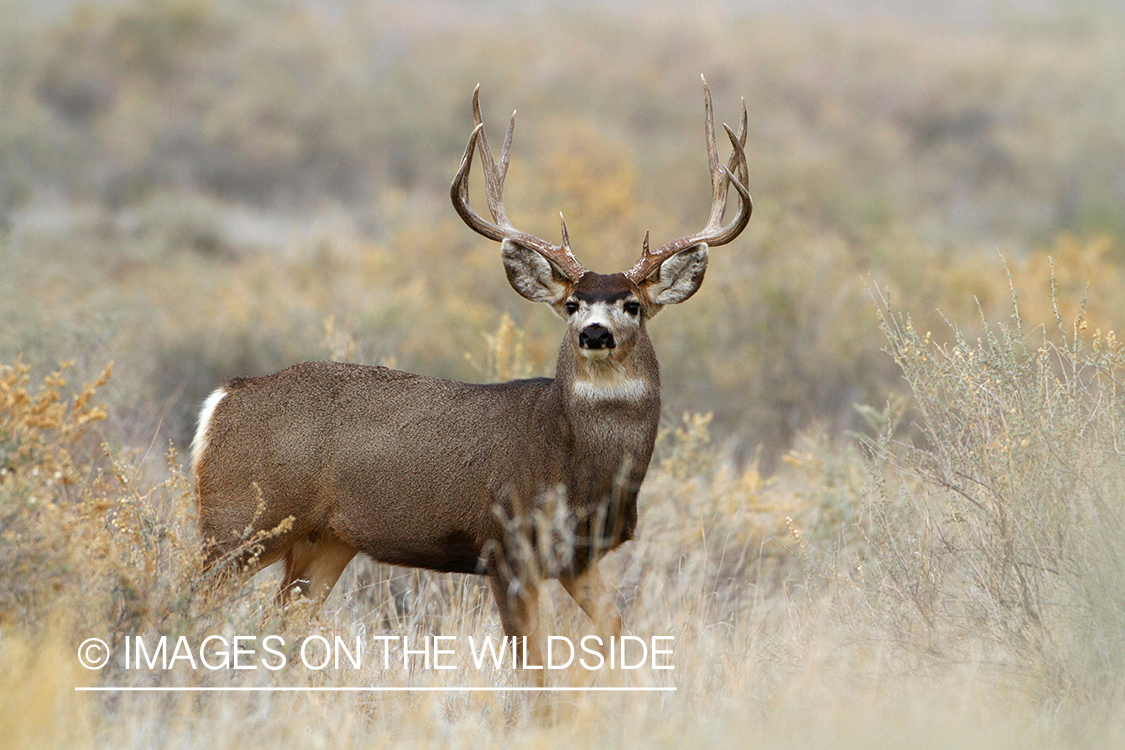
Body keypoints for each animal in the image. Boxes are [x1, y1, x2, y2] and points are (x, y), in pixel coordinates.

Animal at [192, 76, 751, 674]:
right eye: (572, 303)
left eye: (633, 306)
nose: (595, 333)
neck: (578, 468)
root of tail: (222, 400)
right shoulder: (506, 545)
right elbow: (534, 663)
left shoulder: (576, 559)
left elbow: (613, 629)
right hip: (240, 521)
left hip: (324, 541)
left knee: (283, 621)